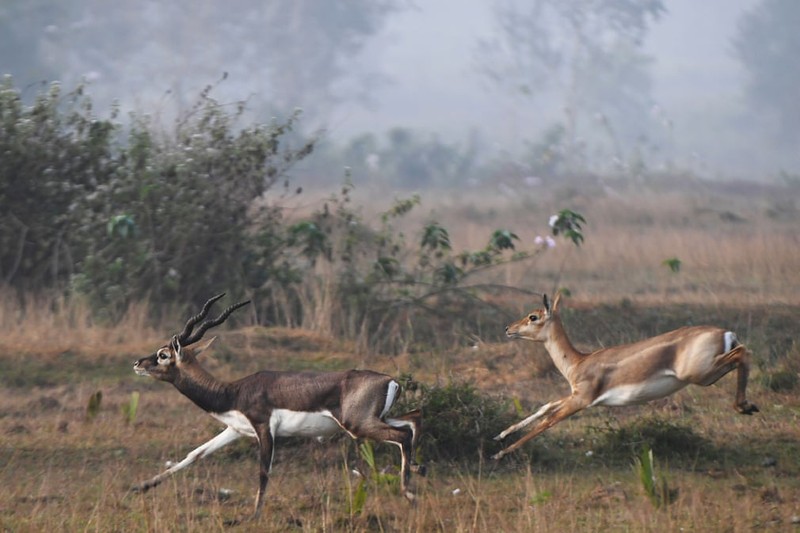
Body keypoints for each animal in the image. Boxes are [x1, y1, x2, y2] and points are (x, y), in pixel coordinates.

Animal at [132, 294, 422, 516]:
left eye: (163, 354)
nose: (137, 363)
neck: (232, 392)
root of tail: (390, 380)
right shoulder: (235, 430)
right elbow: (195, 454)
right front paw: (142, 486)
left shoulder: (264, 429)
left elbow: (263, 472)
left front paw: (255, 515)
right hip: (376, 419)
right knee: (413, 421)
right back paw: (418, 472)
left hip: (357, 425)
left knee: (403, 434)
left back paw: (409, 494)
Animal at [490, 290, 760, 458]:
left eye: (533, 316)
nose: (507, 328)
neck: (579, 362)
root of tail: (725, 333)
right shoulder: (574, 395)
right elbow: (545, 407)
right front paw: (500, 435)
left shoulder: (582, 400)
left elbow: (548, 421)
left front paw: (500, 453)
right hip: (709, 374)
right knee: (742, 355)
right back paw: (747, 406)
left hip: (700, 375)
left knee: (744, 353)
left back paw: (745, 406)